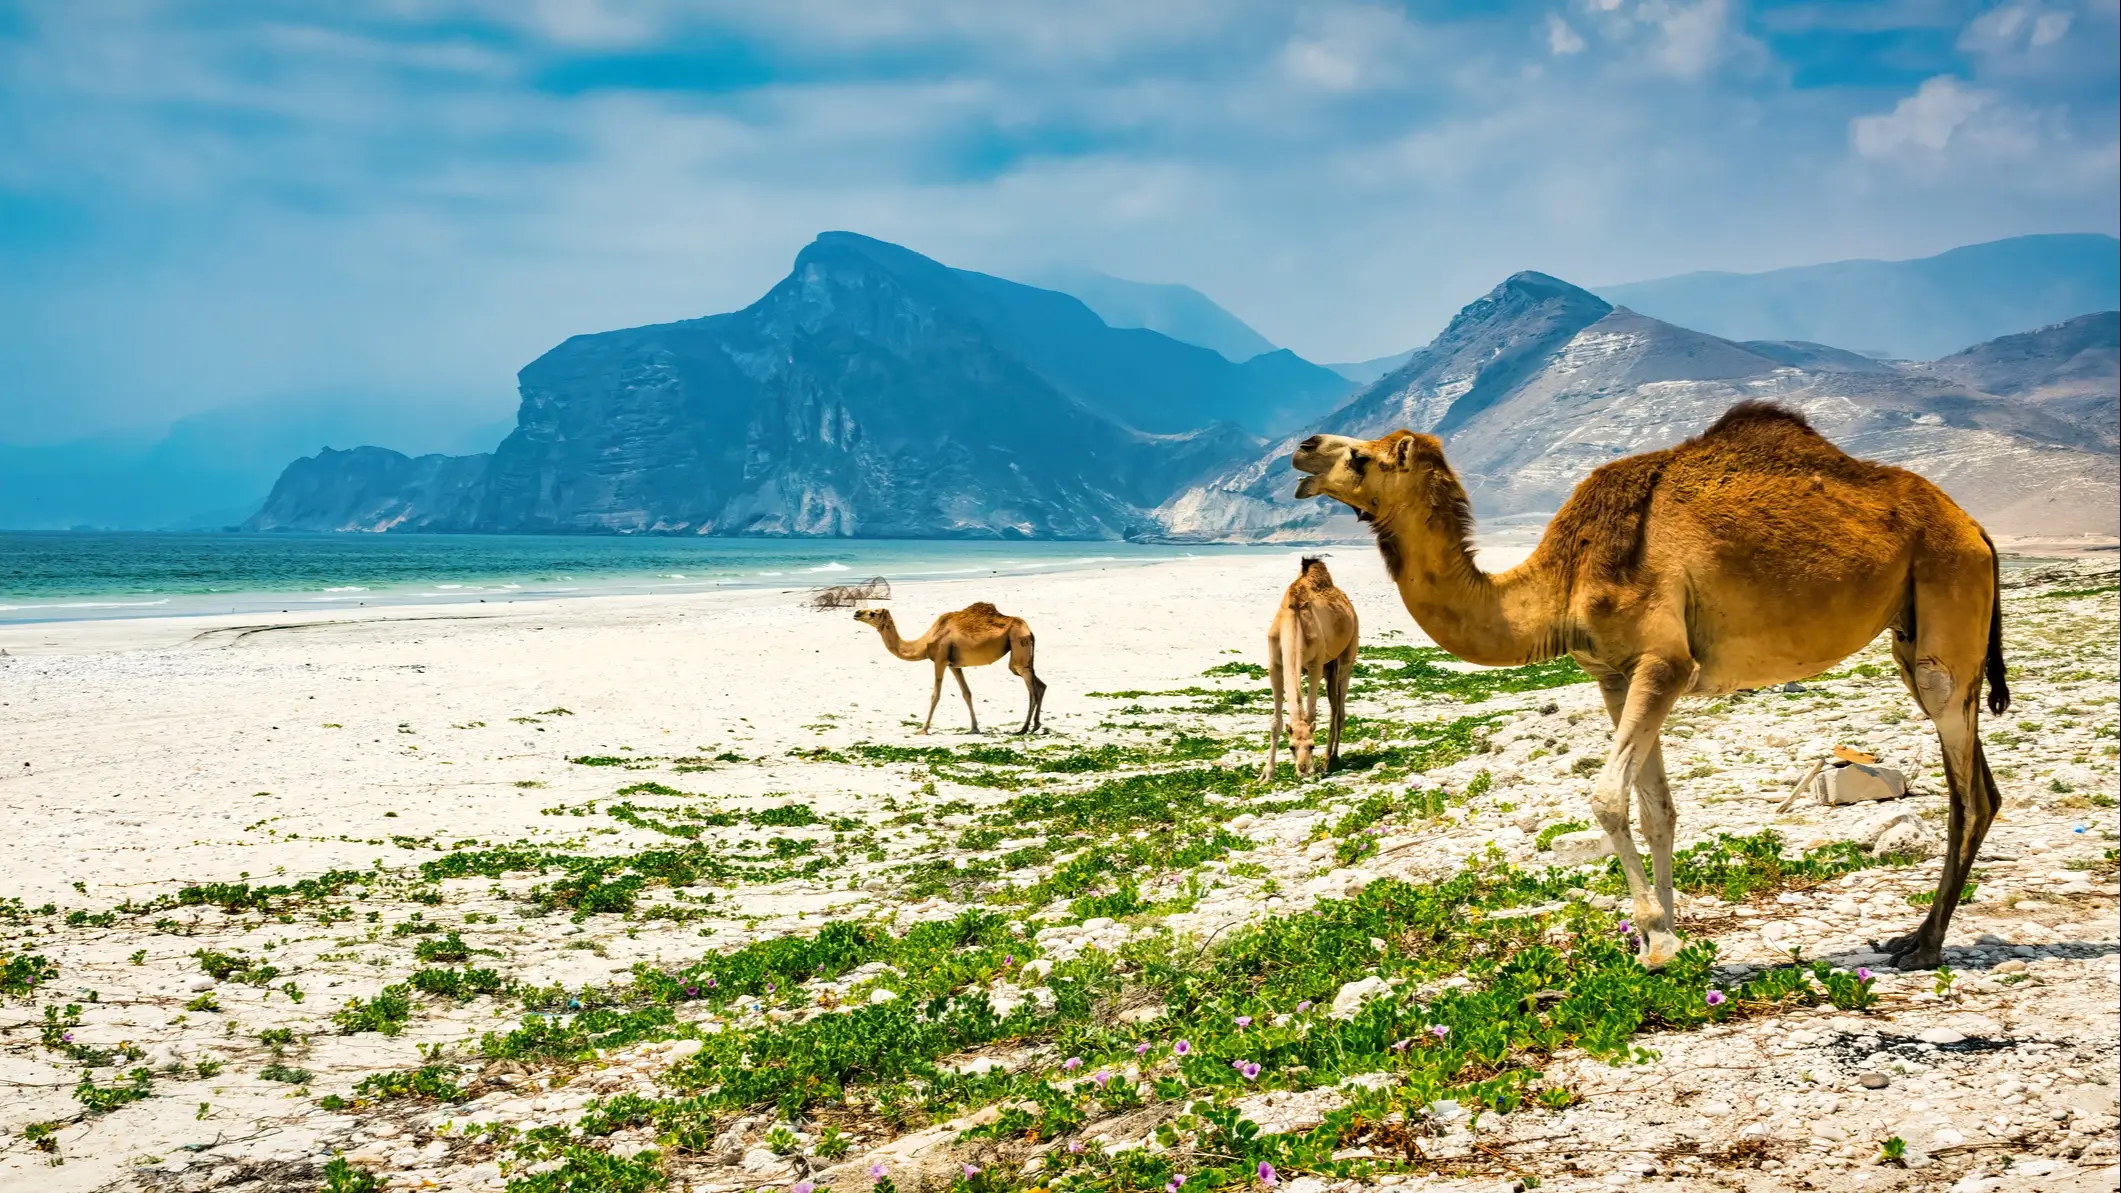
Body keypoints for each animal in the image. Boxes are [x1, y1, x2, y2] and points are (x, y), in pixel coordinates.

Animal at [844, 602, 1043, 734]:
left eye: (873, 613)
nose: (857, 612)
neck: (923, 643)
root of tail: (1030, 630)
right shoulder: (954, 665)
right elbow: (966, 693)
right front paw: (974, 728)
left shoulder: (939, 659)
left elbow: (935, 695)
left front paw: (923, 729)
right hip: (1021, 653)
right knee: (1040, 685)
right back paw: (1036, 725)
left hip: (1018, 646)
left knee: (1031, 688)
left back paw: (1024, 728)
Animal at [1255, 556, 1357, 781]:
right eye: (1291, 747)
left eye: (1311, 745)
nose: (1302, 768)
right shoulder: (1275, 665)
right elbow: (1276, 722)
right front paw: (1267, 774)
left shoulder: (1314, 665)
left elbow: (1310, 714)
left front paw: (1314, 768)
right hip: (1330, 668)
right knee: (1335, 707)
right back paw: (1329, 757)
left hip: (1347, 656)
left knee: (1339, 710)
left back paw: (1331, 758)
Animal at [1289, 396, 2002, 967]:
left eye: (1361, 457)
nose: (1303, 446)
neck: (1563, 578)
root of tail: (1977, 527)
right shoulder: (1614, 673)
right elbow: (1657, 808)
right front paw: (1674, 939)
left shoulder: (1665, 663)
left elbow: (1607, 797)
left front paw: (1655, 939)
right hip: (1913, 628)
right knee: (1980, 781)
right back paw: (1917, 936)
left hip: (1947, 594)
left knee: (1967, 787)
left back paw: (1924, 944)